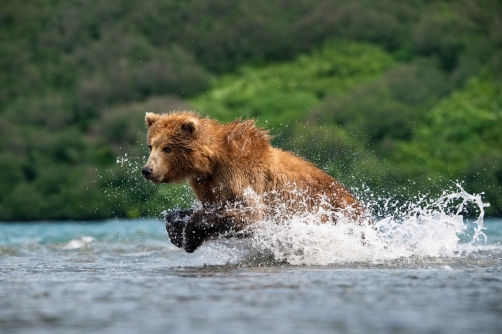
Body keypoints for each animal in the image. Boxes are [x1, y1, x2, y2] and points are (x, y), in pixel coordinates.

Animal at [141, 111, 364, 252]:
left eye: (167, 148)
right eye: (151, 146)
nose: (147, 170)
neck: (211, 162)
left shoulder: (241, 176)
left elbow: (248, 214)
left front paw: (189, 233)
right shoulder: (208, 184)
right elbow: (209, 207)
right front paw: (176, 227)